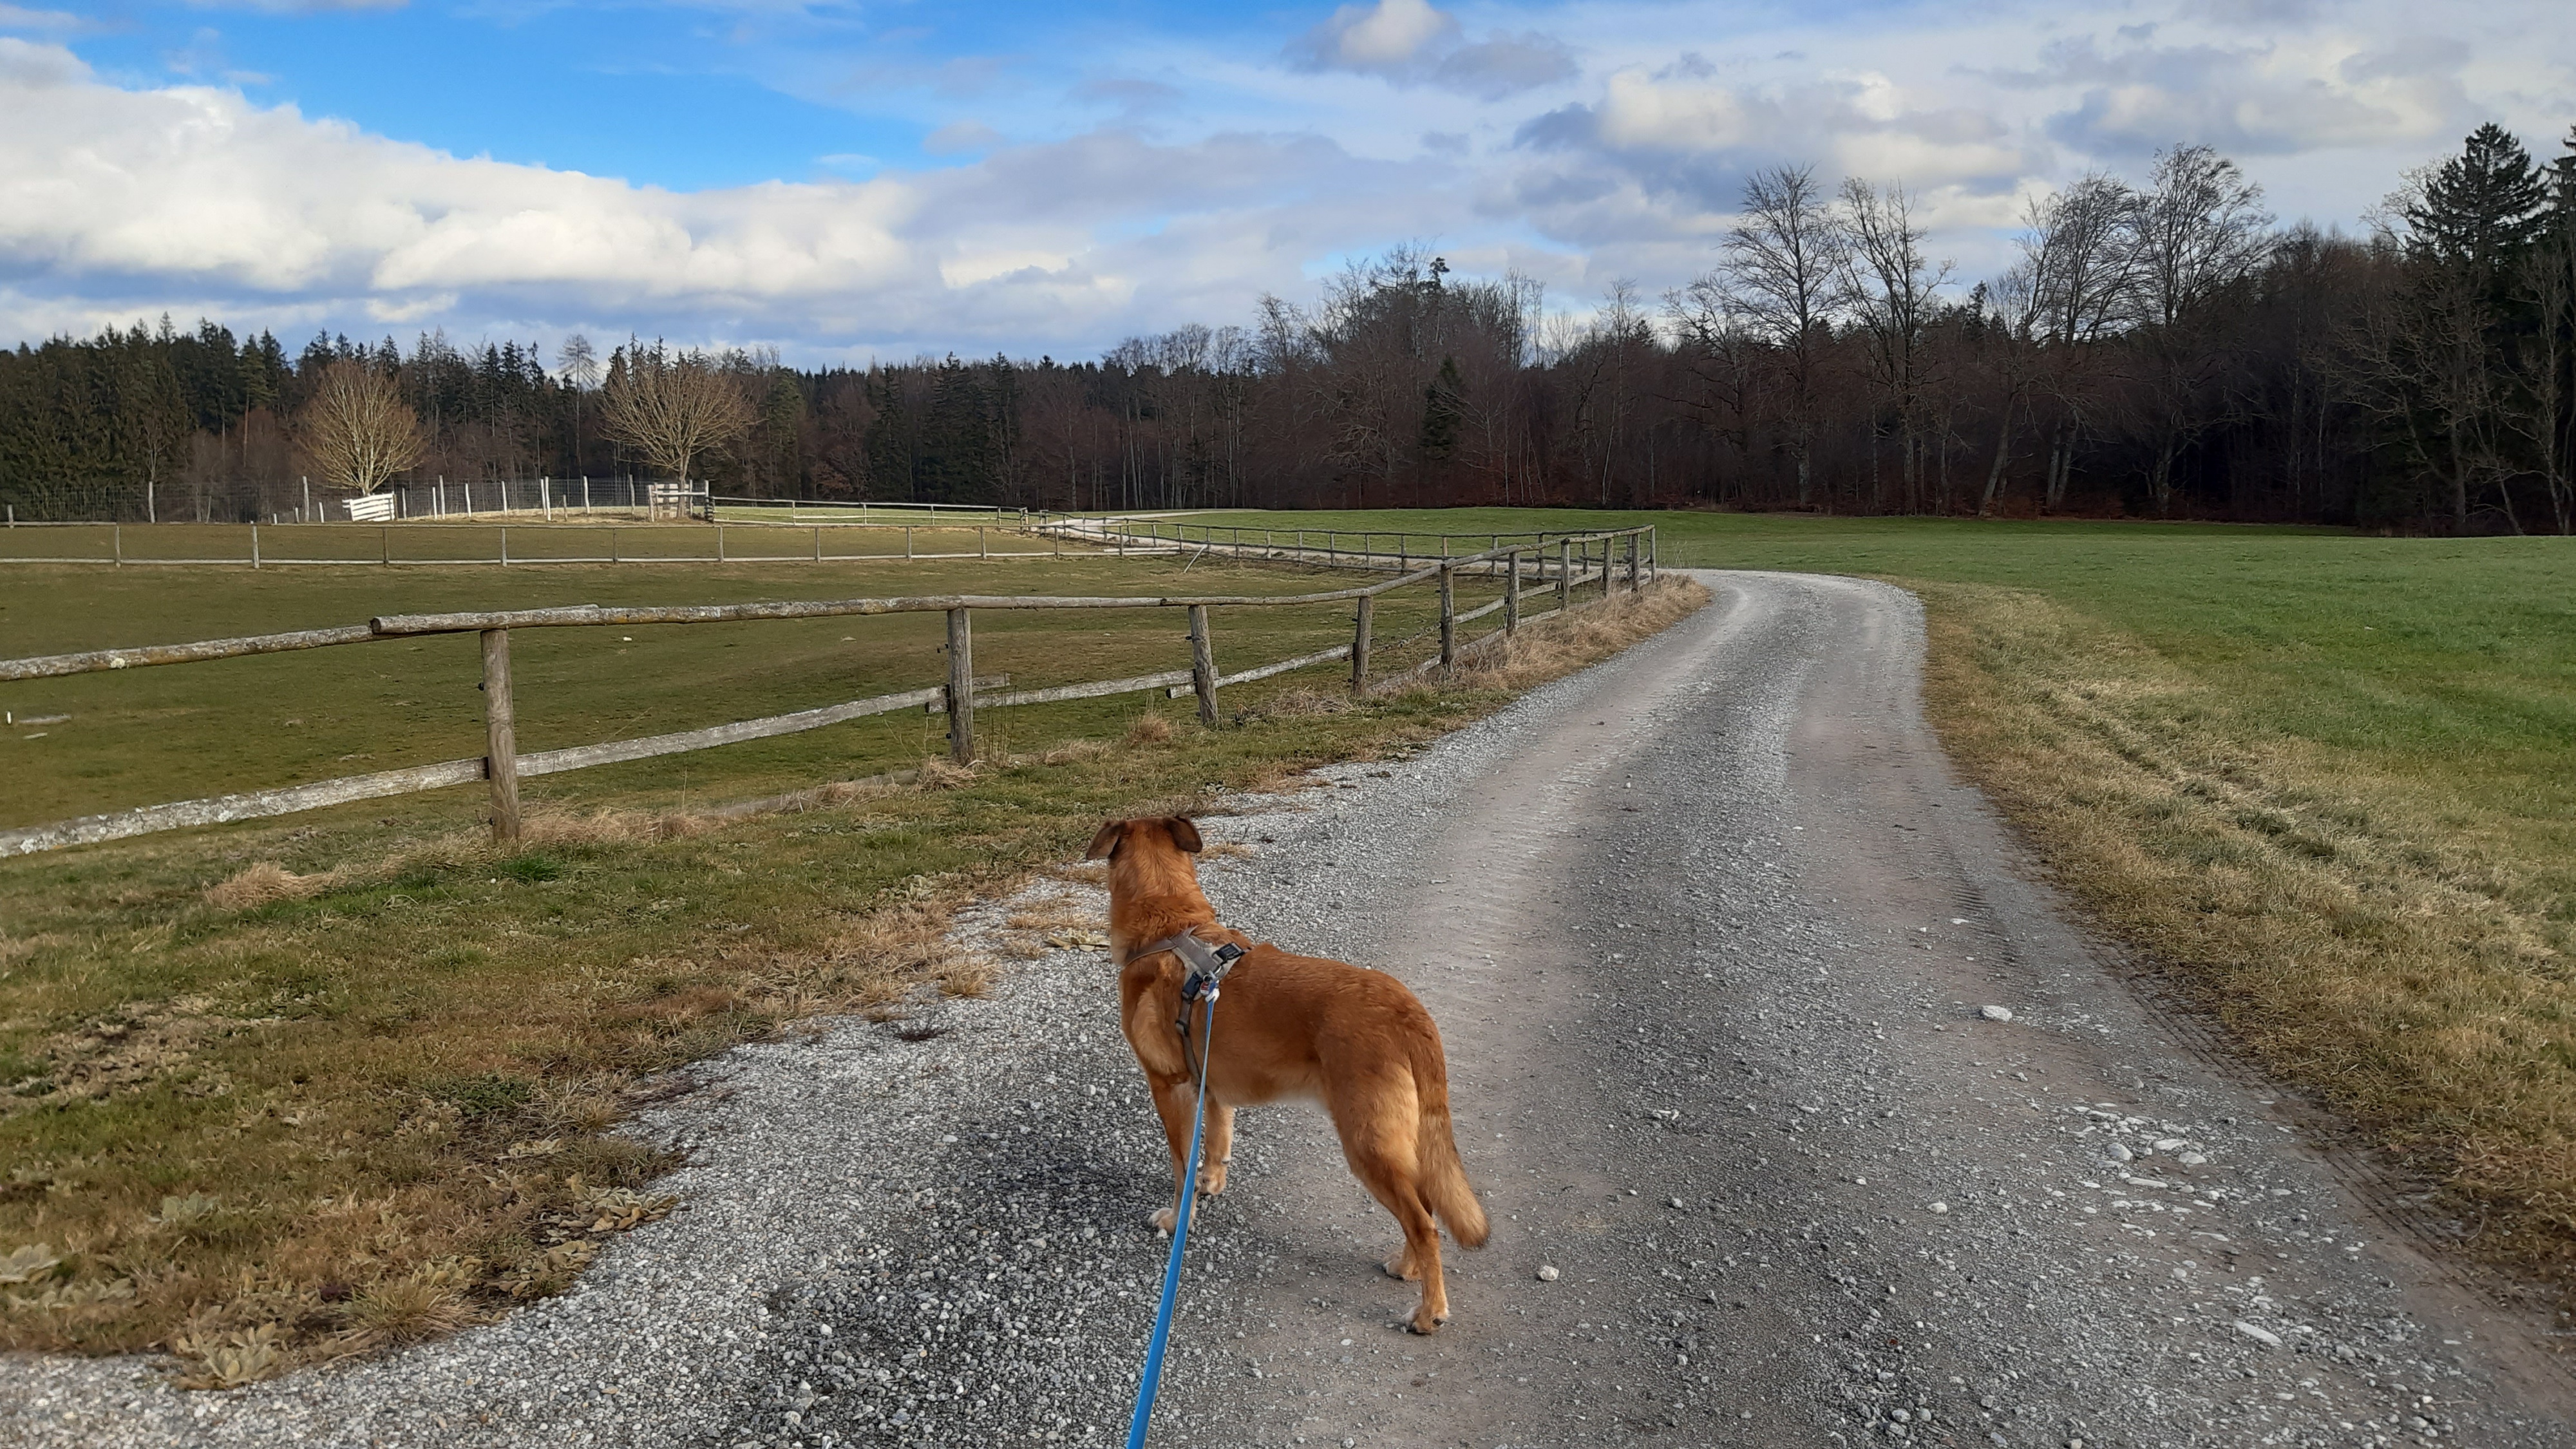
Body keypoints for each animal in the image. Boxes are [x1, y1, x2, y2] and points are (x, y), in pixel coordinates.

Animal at [1084, 814, 1489, 1333]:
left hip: (1368, 1144)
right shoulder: (1210, 1085)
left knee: (1424, 1223)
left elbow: (1180, 1166)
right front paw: (1211, 1182)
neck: (1172, 924)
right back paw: (1408, 1267)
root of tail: (1408, 1012)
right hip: (1401, 1139)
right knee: (1427, 1207)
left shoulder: (1169, 1089)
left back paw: (1429, 1310)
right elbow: (1217, 1141)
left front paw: (1180, 1218)